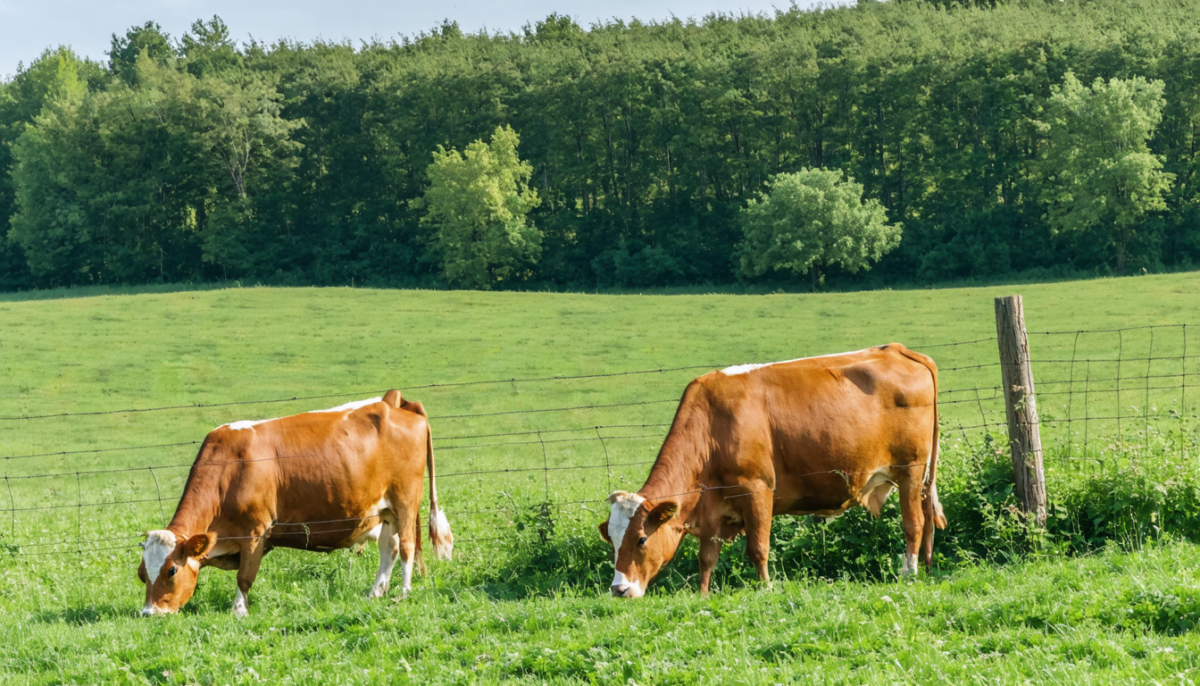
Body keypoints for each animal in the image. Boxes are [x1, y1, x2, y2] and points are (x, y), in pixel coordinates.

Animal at [137, 390, 453, 617]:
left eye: (171, 570)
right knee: (390, 548)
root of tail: (393, 402)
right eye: (142, 574)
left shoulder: (255, 532)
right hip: (385, 511)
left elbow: (244, 577)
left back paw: (403, 593)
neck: (228, 469)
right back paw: (375, 592)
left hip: (405, 502)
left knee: (407, 546)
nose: (149, 613)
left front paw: (239, 611)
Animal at [598, 344, 945, 598]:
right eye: (612, 542)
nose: (619, 589)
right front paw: (703, 595)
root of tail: (898, 350)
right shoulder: (712, 508)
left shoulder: (757, 490)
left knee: (914, 523)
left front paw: (765, 588)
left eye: (641, 539)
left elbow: (758, 548)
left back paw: (909, 573)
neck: (712, 428)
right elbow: (707, 557)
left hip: (910, 470)